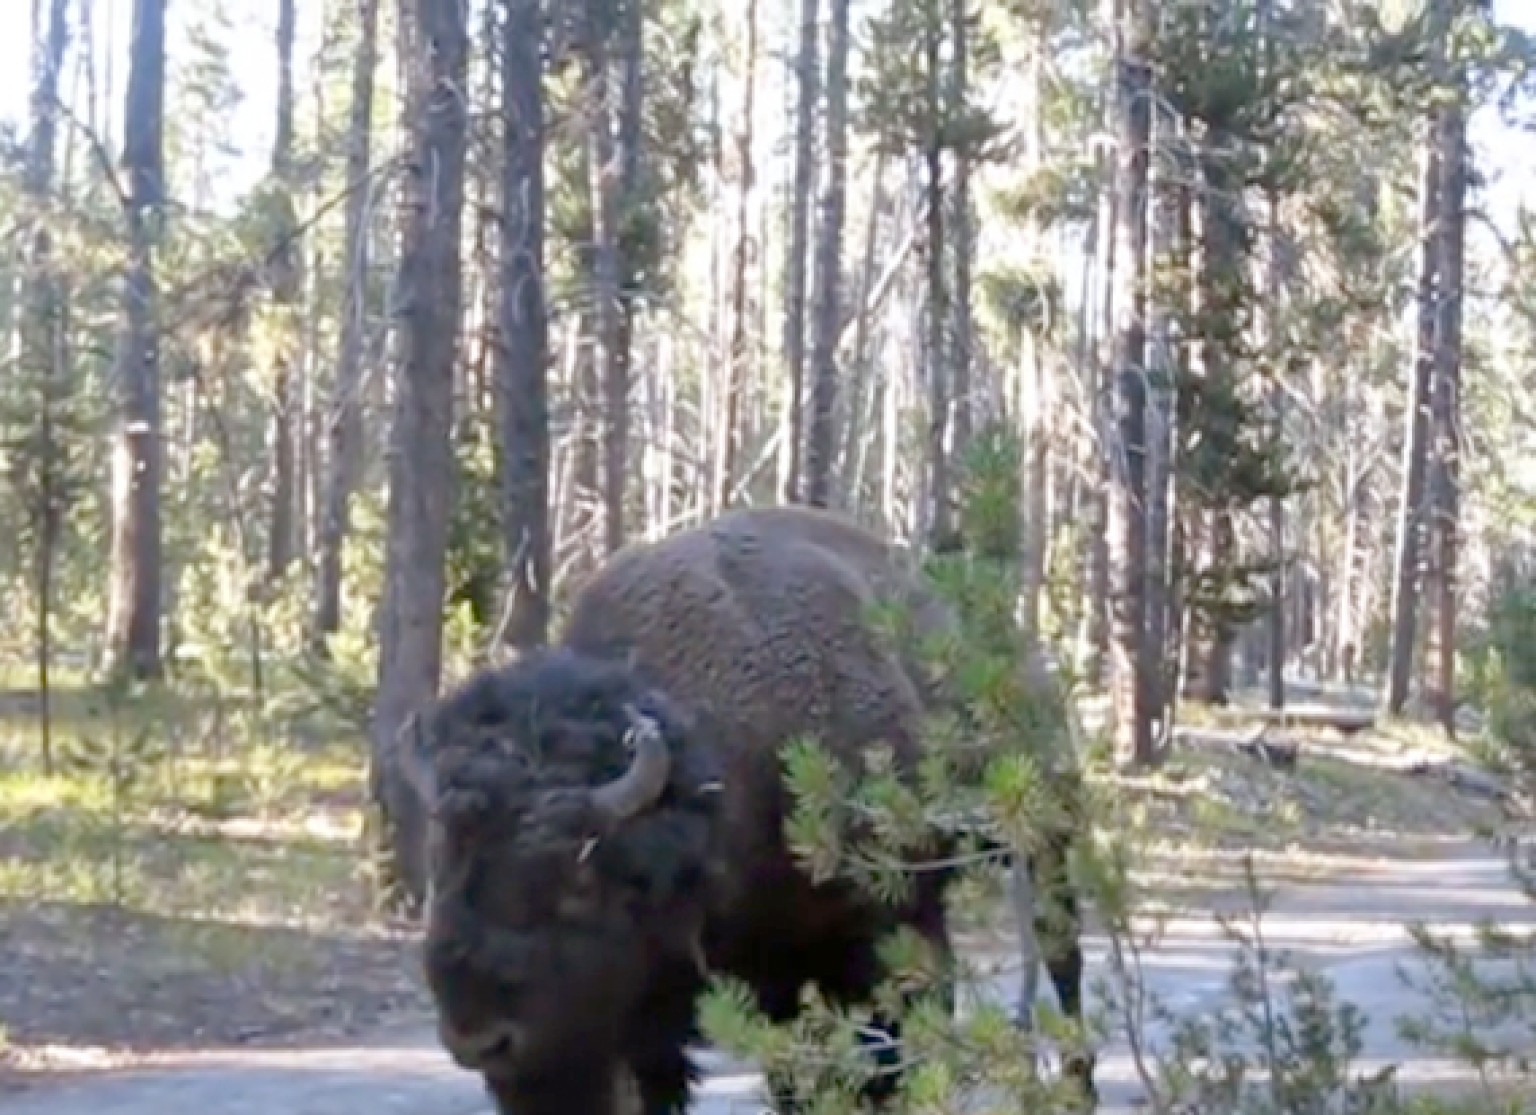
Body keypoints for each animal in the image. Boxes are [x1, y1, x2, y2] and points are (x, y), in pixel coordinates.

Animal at [393, 509, 1093, 1115]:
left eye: (578, 881)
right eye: (441, 864)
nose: (479, 1038)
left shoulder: (885, 933)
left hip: (1048, 842)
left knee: (1064, 968)